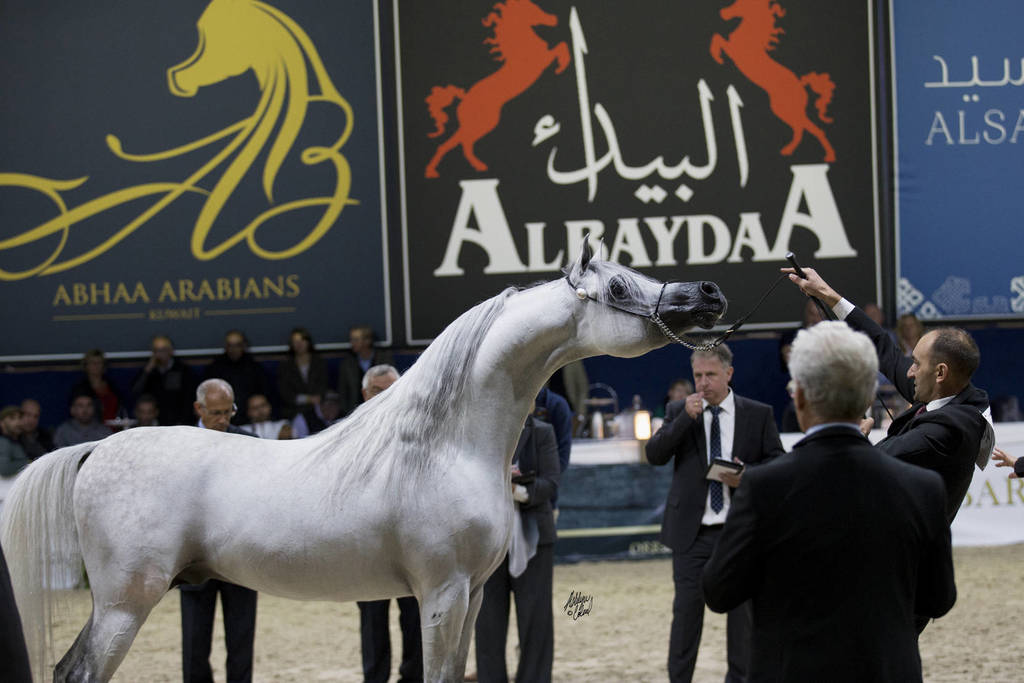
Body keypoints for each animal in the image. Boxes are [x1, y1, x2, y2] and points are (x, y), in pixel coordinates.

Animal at [1, 239, 726, 682]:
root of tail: (99, 447)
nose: (708, 294)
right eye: (620, 286)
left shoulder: (474, 593)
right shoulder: (441, 593)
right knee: (79, 671)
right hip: (125, 603)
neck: (444, 446)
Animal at [424, 0, 570, 178]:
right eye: (531, 9)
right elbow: (561, 47)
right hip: (483, 123)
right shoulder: (543, 60)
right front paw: (561, 67)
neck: (521, 46)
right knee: (462, 143)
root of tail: (463, 98)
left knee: (458, 143)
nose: (554, 19)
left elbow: (560, 46)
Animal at [709, 0, 836, 162]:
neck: (750, 36)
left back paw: (799, 151)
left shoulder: (734, 52)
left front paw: (717, 57)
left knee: (803, 128)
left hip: (784, 109)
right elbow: (718, 37)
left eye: (741, 3)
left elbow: (717, 38)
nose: (723, 13)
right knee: (805, 128)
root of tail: (801, 85)